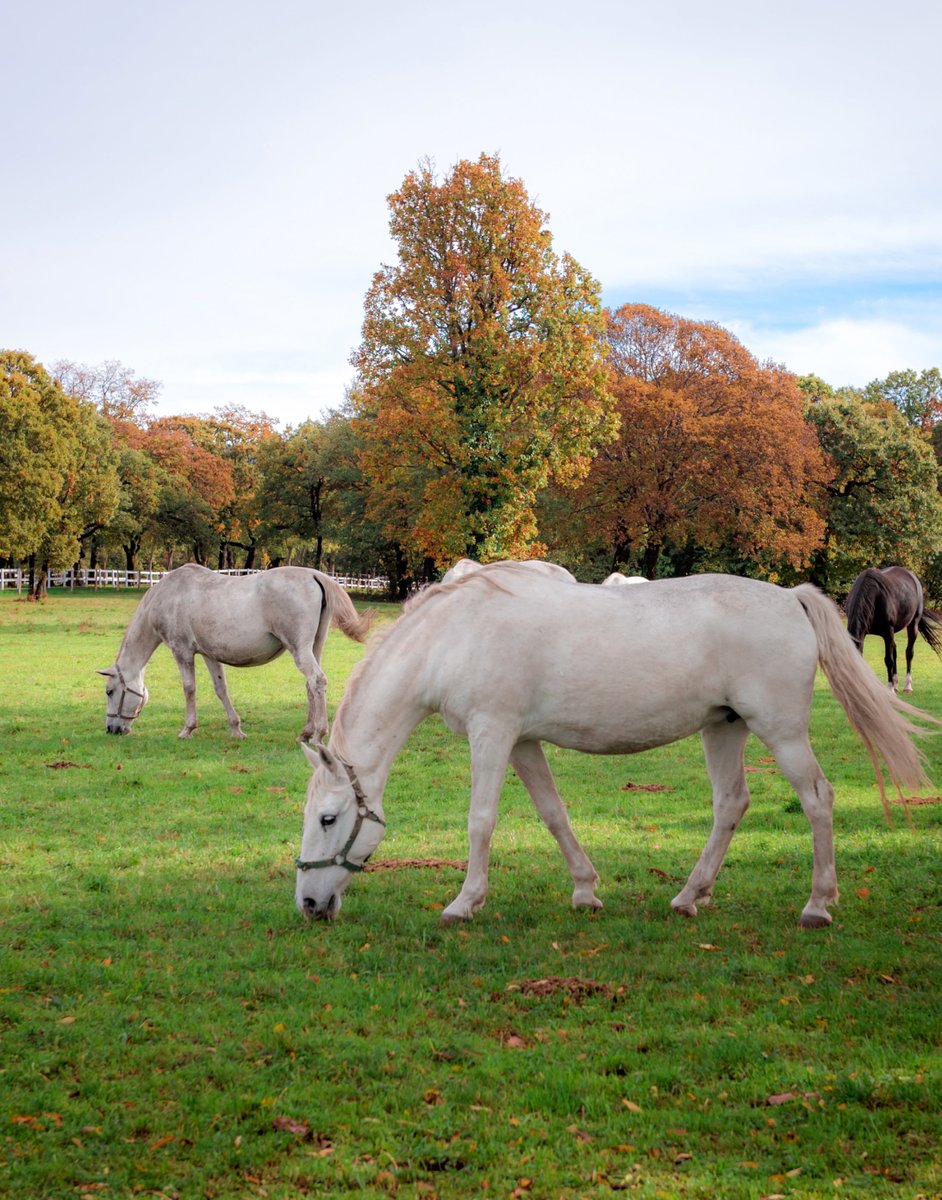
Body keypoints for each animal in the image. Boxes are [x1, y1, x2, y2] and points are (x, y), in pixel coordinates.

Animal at [98, 564, 372, 739]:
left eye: (110, 691)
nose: (112, 729)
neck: (169, 595)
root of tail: (315, 575)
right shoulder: (209, 654)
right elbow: (221, 689)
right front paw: (236, 729)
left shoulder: (182, 651)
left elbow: (189, 689)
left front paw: (188, 729)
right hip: (314, 647)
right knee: (311, 686)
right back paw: (305, 733)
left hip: (300, 649)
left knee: (317, 680)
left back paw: (318, 734)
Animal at [294, 568, 931, 926]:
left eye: (328, 818)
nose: (308, 905)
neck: (454, 636)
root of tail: (792, 598)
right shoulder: (523, 741)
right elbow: (553, 814)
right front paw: (585, 891)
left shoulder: (492, 733)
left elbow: (481, 820)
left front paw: (463, 903)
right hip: (724, 727)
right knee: (731, 804)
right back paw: (689, 896)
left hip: (781, 732)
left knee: (817, 799)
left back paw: (817, 905)